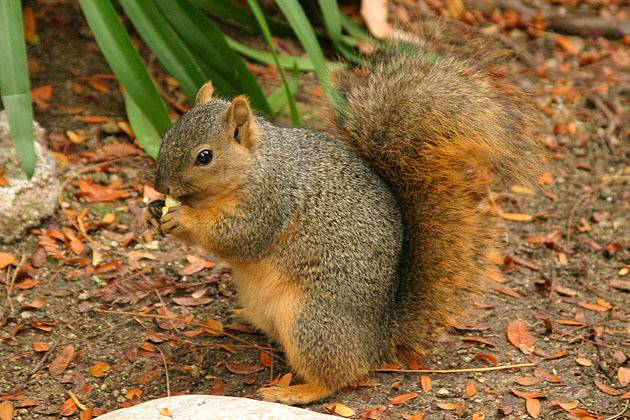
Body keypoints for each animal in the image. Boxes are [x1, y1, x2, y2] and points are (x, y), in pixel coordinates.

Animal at [146, 27, 540, 406]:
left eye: (205, 156)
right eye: (167, 134)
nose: (159, 184)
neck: (255, 165)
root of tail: (379, 336)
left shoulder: (270, 202)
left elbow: (238, 237)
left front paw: (183, 219)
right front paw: (152, 213)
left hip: (312, 320)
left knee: (340, 374)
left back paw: (296, 391)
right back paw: (243, 318)